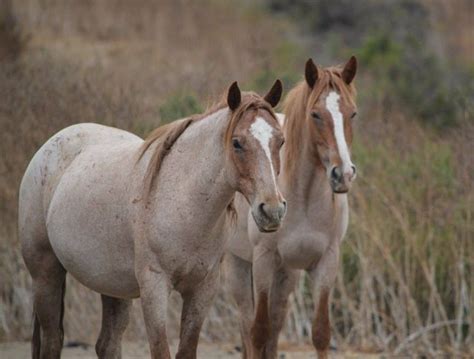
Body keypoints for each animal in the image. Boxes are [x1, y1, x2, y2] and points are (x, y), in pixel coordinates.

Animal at [17, 81, 286, 359]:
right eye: (237, 143)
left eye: (281, 141)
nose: (272, 210)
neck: (185, 206)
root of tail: (48, 148)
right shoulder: (154, 288)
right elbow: (160, 350)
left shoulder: (202, 290)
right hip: (45, 272)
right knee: (52, 340)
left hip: (113, 287)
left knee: (107, 344)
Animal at [224, 57, 358, 358]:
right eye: (315, 114)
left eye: (353, 114)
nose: (343, 175)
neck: (304, 200)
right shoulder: (263, 261)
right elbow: (258, 332)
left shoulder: (325, 263)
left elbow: (320, 333)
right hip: (239, 268)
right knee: (247, 326)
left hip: (286, 275)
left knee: (274, 326)